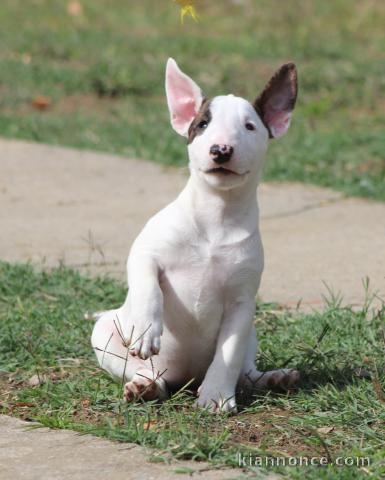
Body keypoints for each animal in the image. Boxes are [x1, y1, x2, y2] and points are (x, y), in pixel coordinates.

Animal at [91, 57, 298, 412]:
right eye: (202, 124)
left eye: (250, 127)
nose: (221, 149)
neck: (217, 216)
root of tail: (184, 378)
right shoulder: (146, 251)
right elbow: (147, 284)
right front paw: (146, 330)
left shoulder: (242, 302)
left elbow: (228, 353)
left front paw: (216, 397)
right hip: (103, 332)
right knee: (145, 371)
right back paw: (145, 387)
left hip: (252, 334)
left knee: (244, 372)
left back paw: (274, 379)